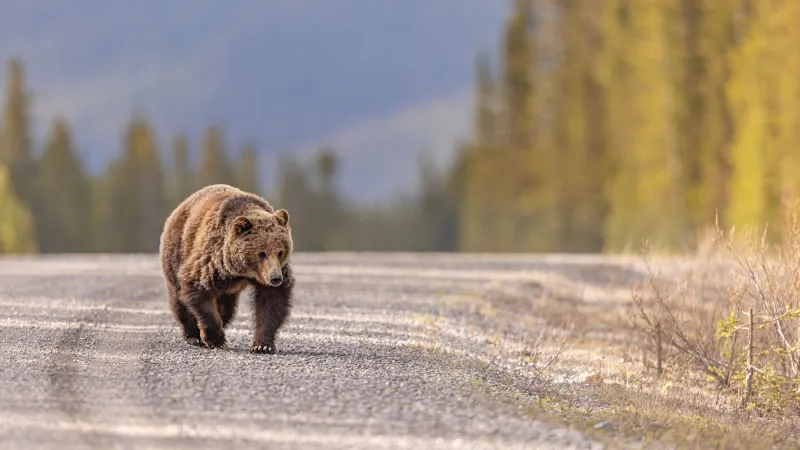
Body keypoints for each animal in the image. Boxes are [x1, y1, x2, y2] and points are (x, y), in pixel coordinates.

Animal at [158, 183, 295, 354]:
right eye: (261, 253)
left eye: (280, 251)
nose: (275, 278)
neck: (243, 272)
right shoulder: (212, 261)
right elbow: (198, 290)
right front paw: (216, 340)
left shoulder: (271, 275)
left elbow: (271, 301)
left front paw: (262, 345)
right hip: (176, 252)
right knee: (179, 300)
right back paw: (193, 336)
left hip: (227, 290)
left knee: (226, 308)